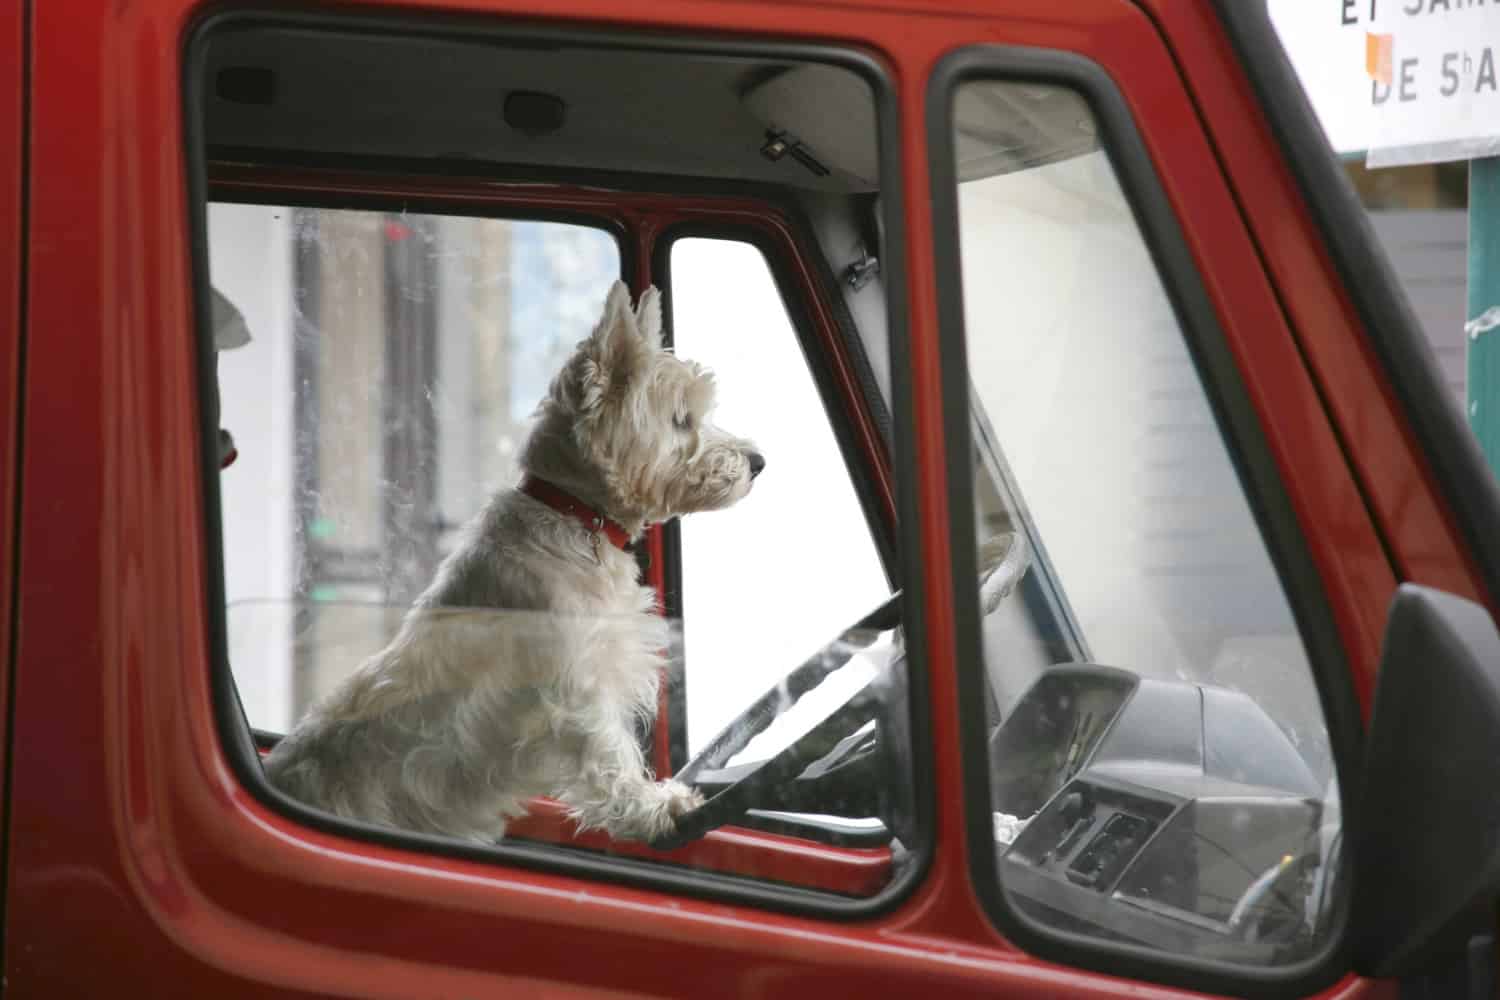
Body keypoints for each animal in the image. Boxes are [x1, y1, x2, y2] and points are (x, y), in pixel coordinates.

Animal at [259, 281, 768, 845]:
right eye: (680, 420)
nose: (757, 463)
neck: (576, 514)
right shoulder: (577, 688)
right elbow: (610, 753)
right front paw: (655, 806)